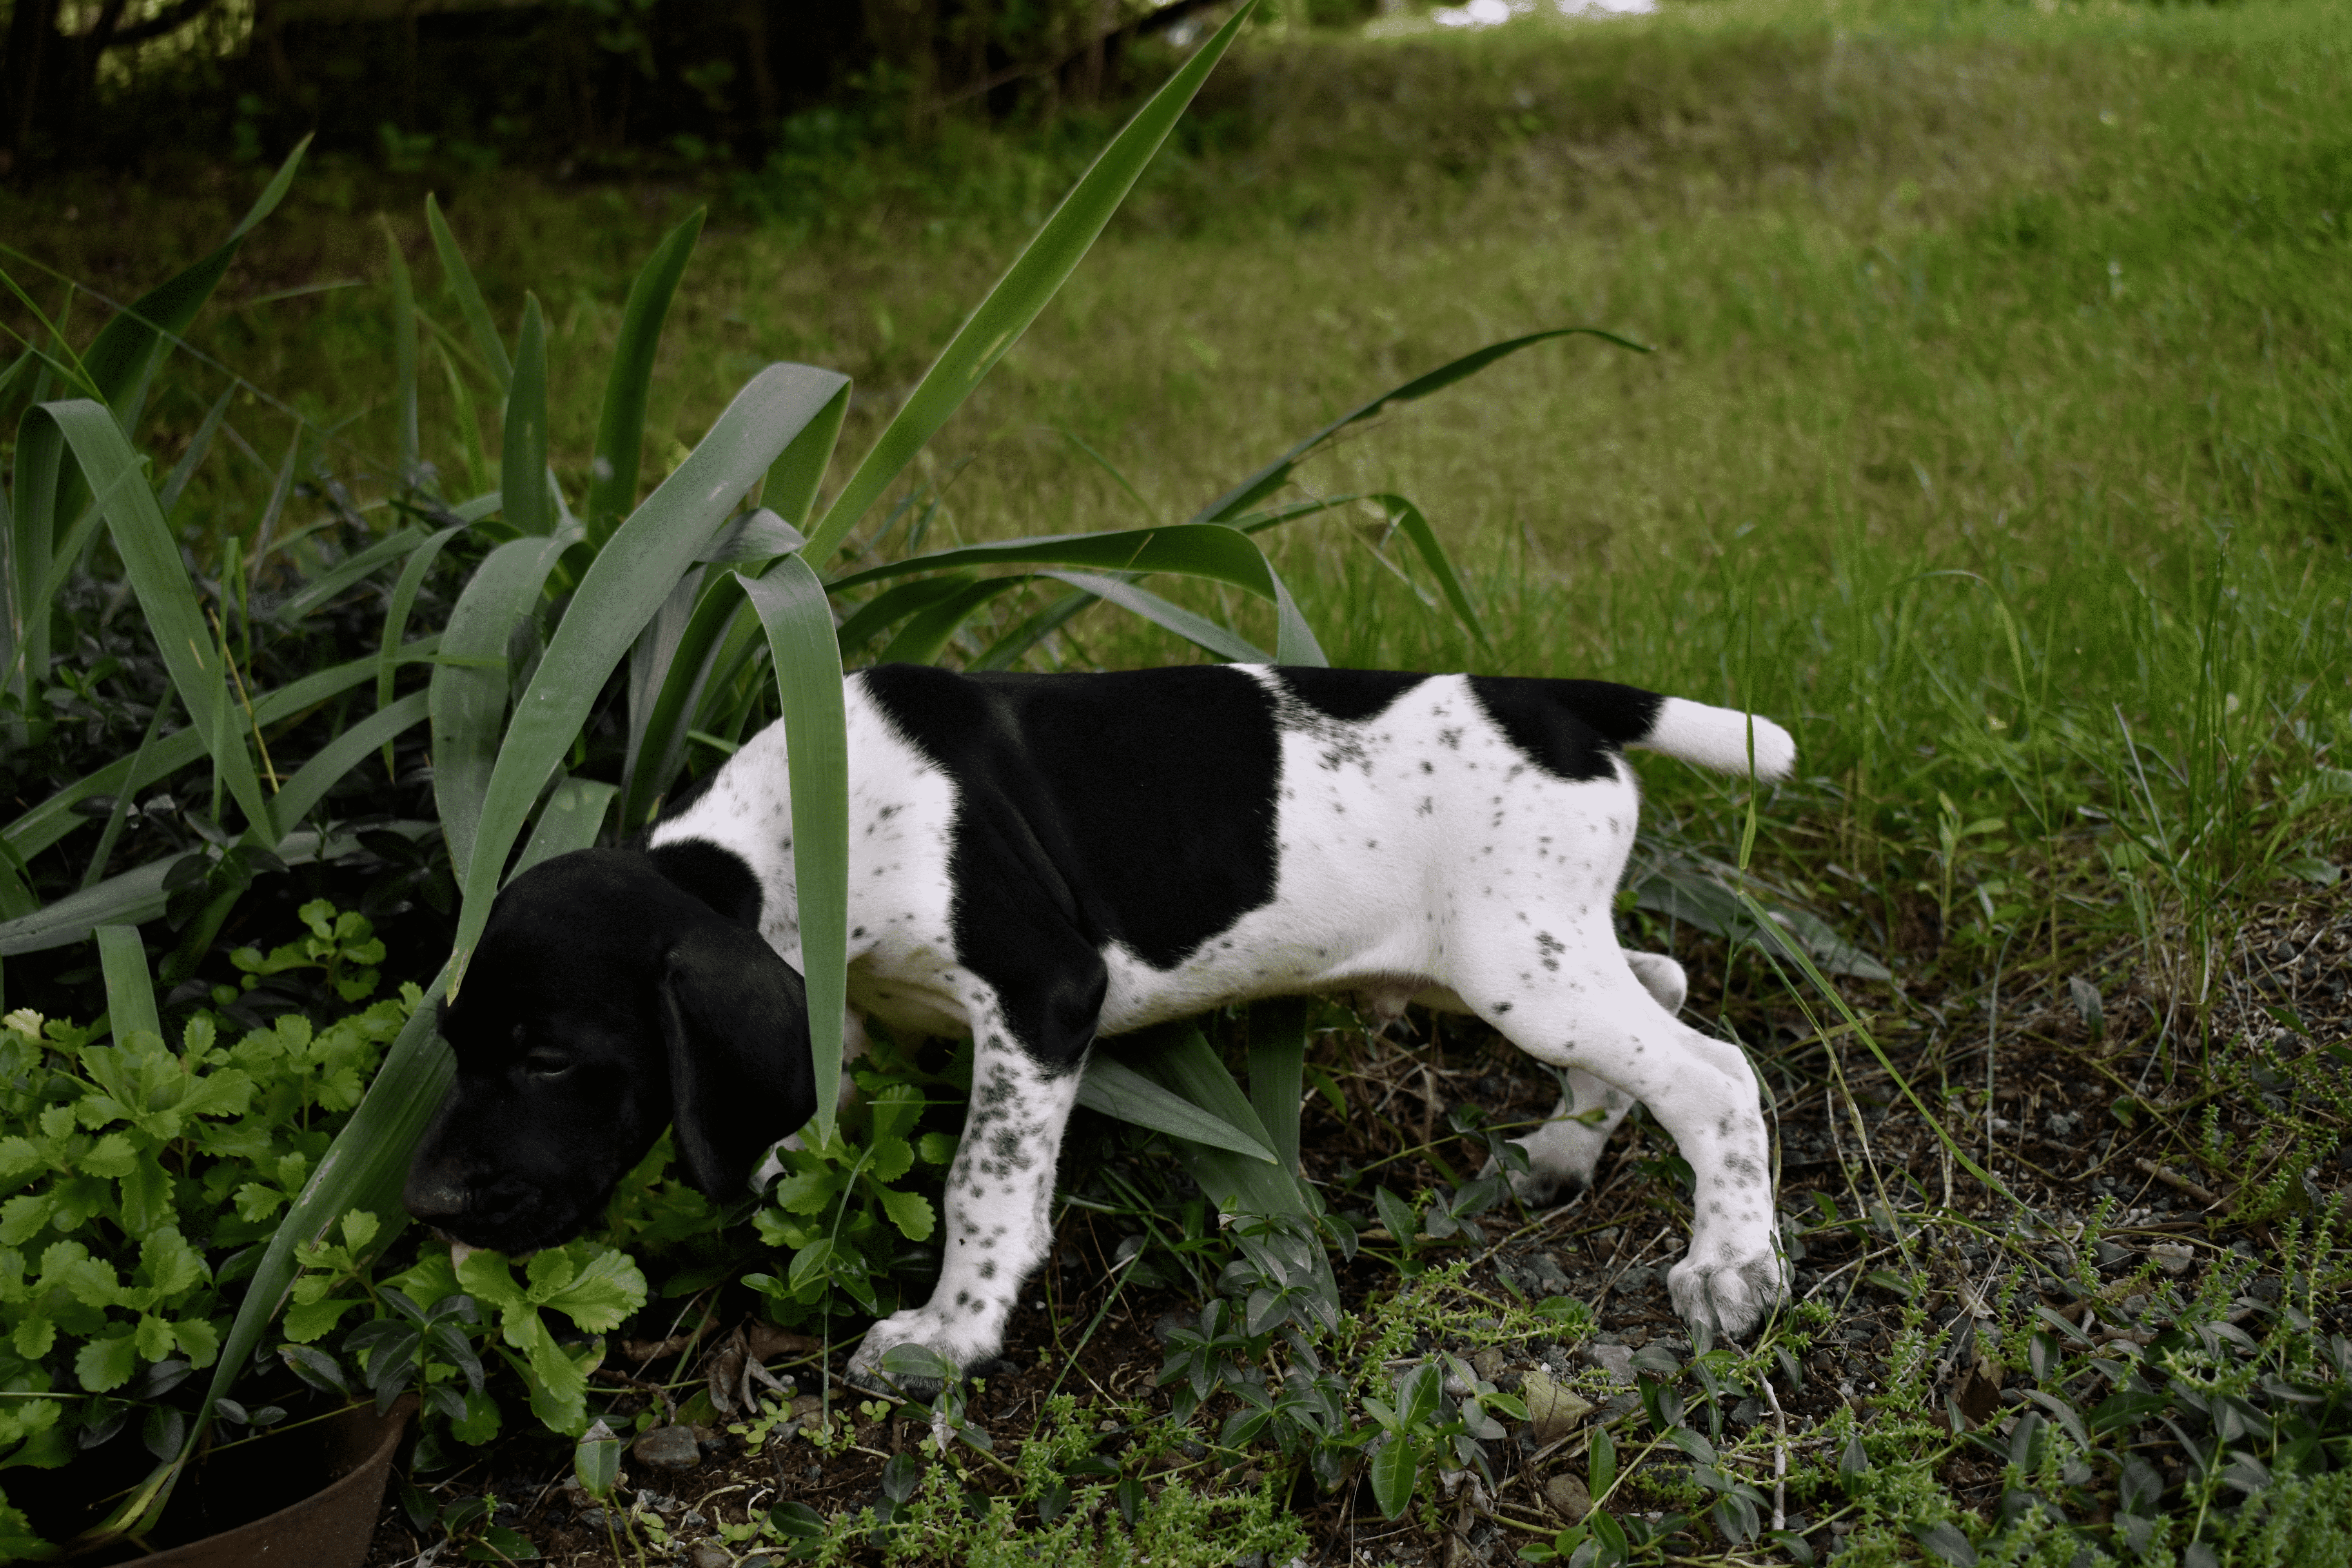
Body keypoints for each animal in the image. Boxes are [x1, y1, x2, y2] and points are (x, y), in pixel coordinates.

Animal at [409, 668, 1797, 1382]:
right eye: (457, 1051)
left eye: (549, 1059)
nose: (430, 1204)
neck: (799, 828)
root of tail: (1542, 696)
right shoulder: (841, 1012)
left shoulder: (1040, 1000)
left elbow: (982, 1183)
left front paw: (951, 1332)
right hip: (1501, 954)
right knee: (1664, 985)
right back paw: (1563, 1150)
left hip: (1514, 962)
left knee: (1714, 1072)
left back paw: (1731, 1267)